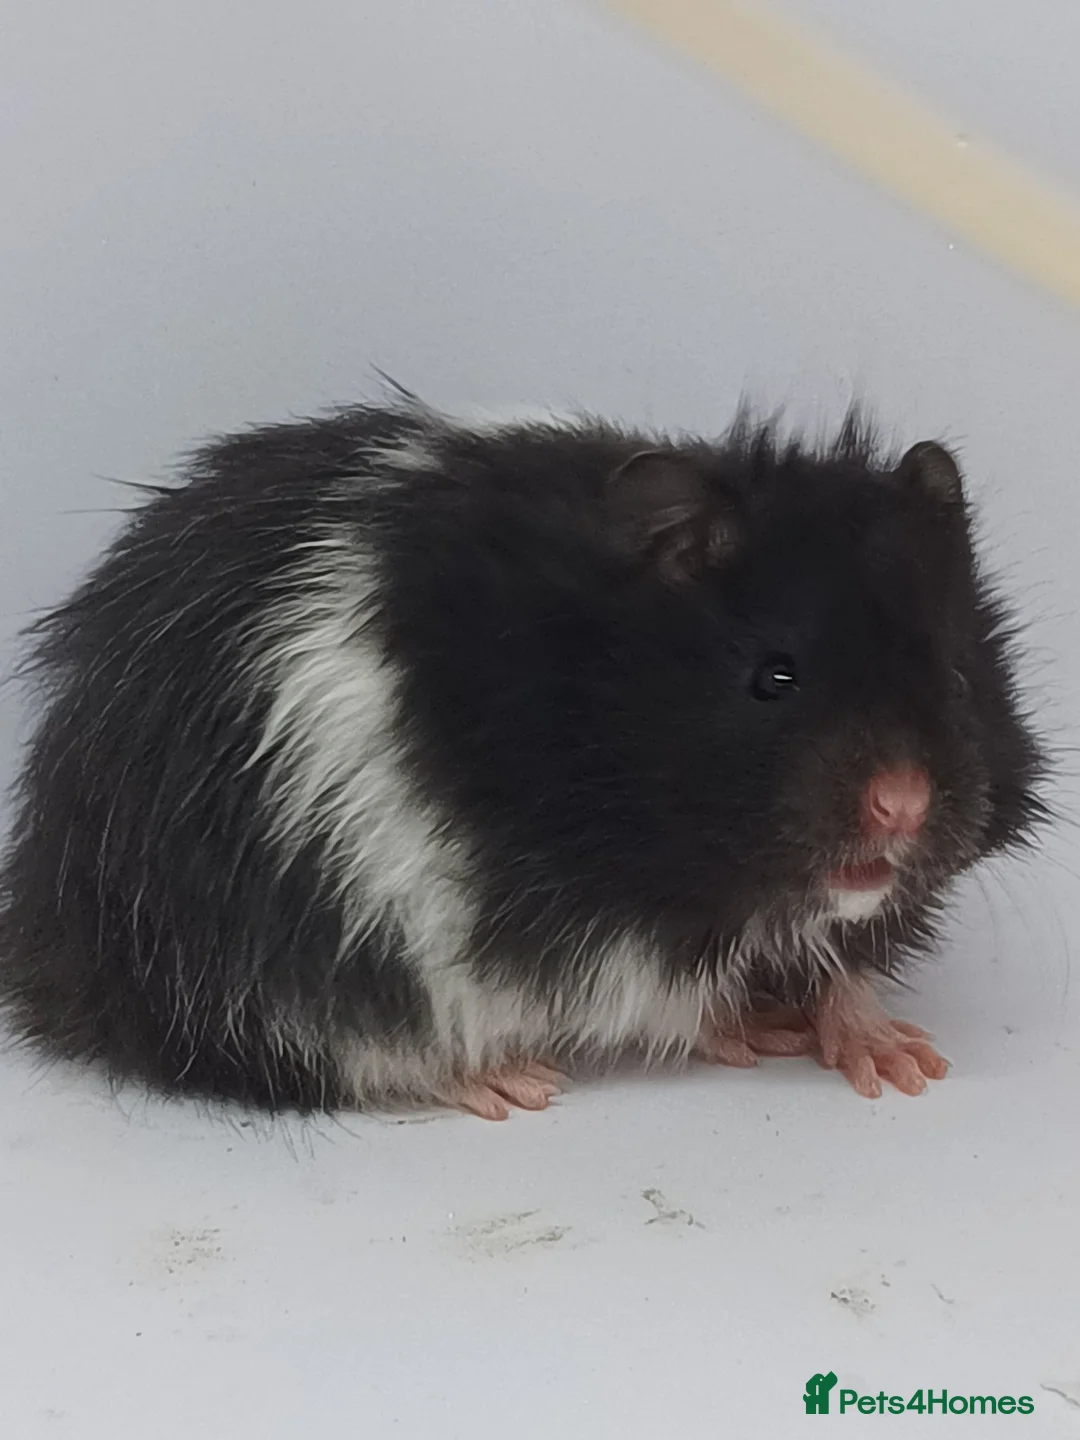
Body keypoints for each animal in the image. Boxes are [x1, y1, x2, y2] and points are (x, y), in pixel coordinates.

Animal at [0, 401, 1045, 1118]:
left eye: (958, 677)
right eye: (772, 679)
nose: (902, 805)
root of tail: (50, 925)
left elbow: (839, 967)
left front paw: (905, 1064)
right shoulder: (590, 941)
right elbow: (679, 998)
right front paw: (762, 1030)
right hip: (268, 964)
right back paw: (513, 1084)